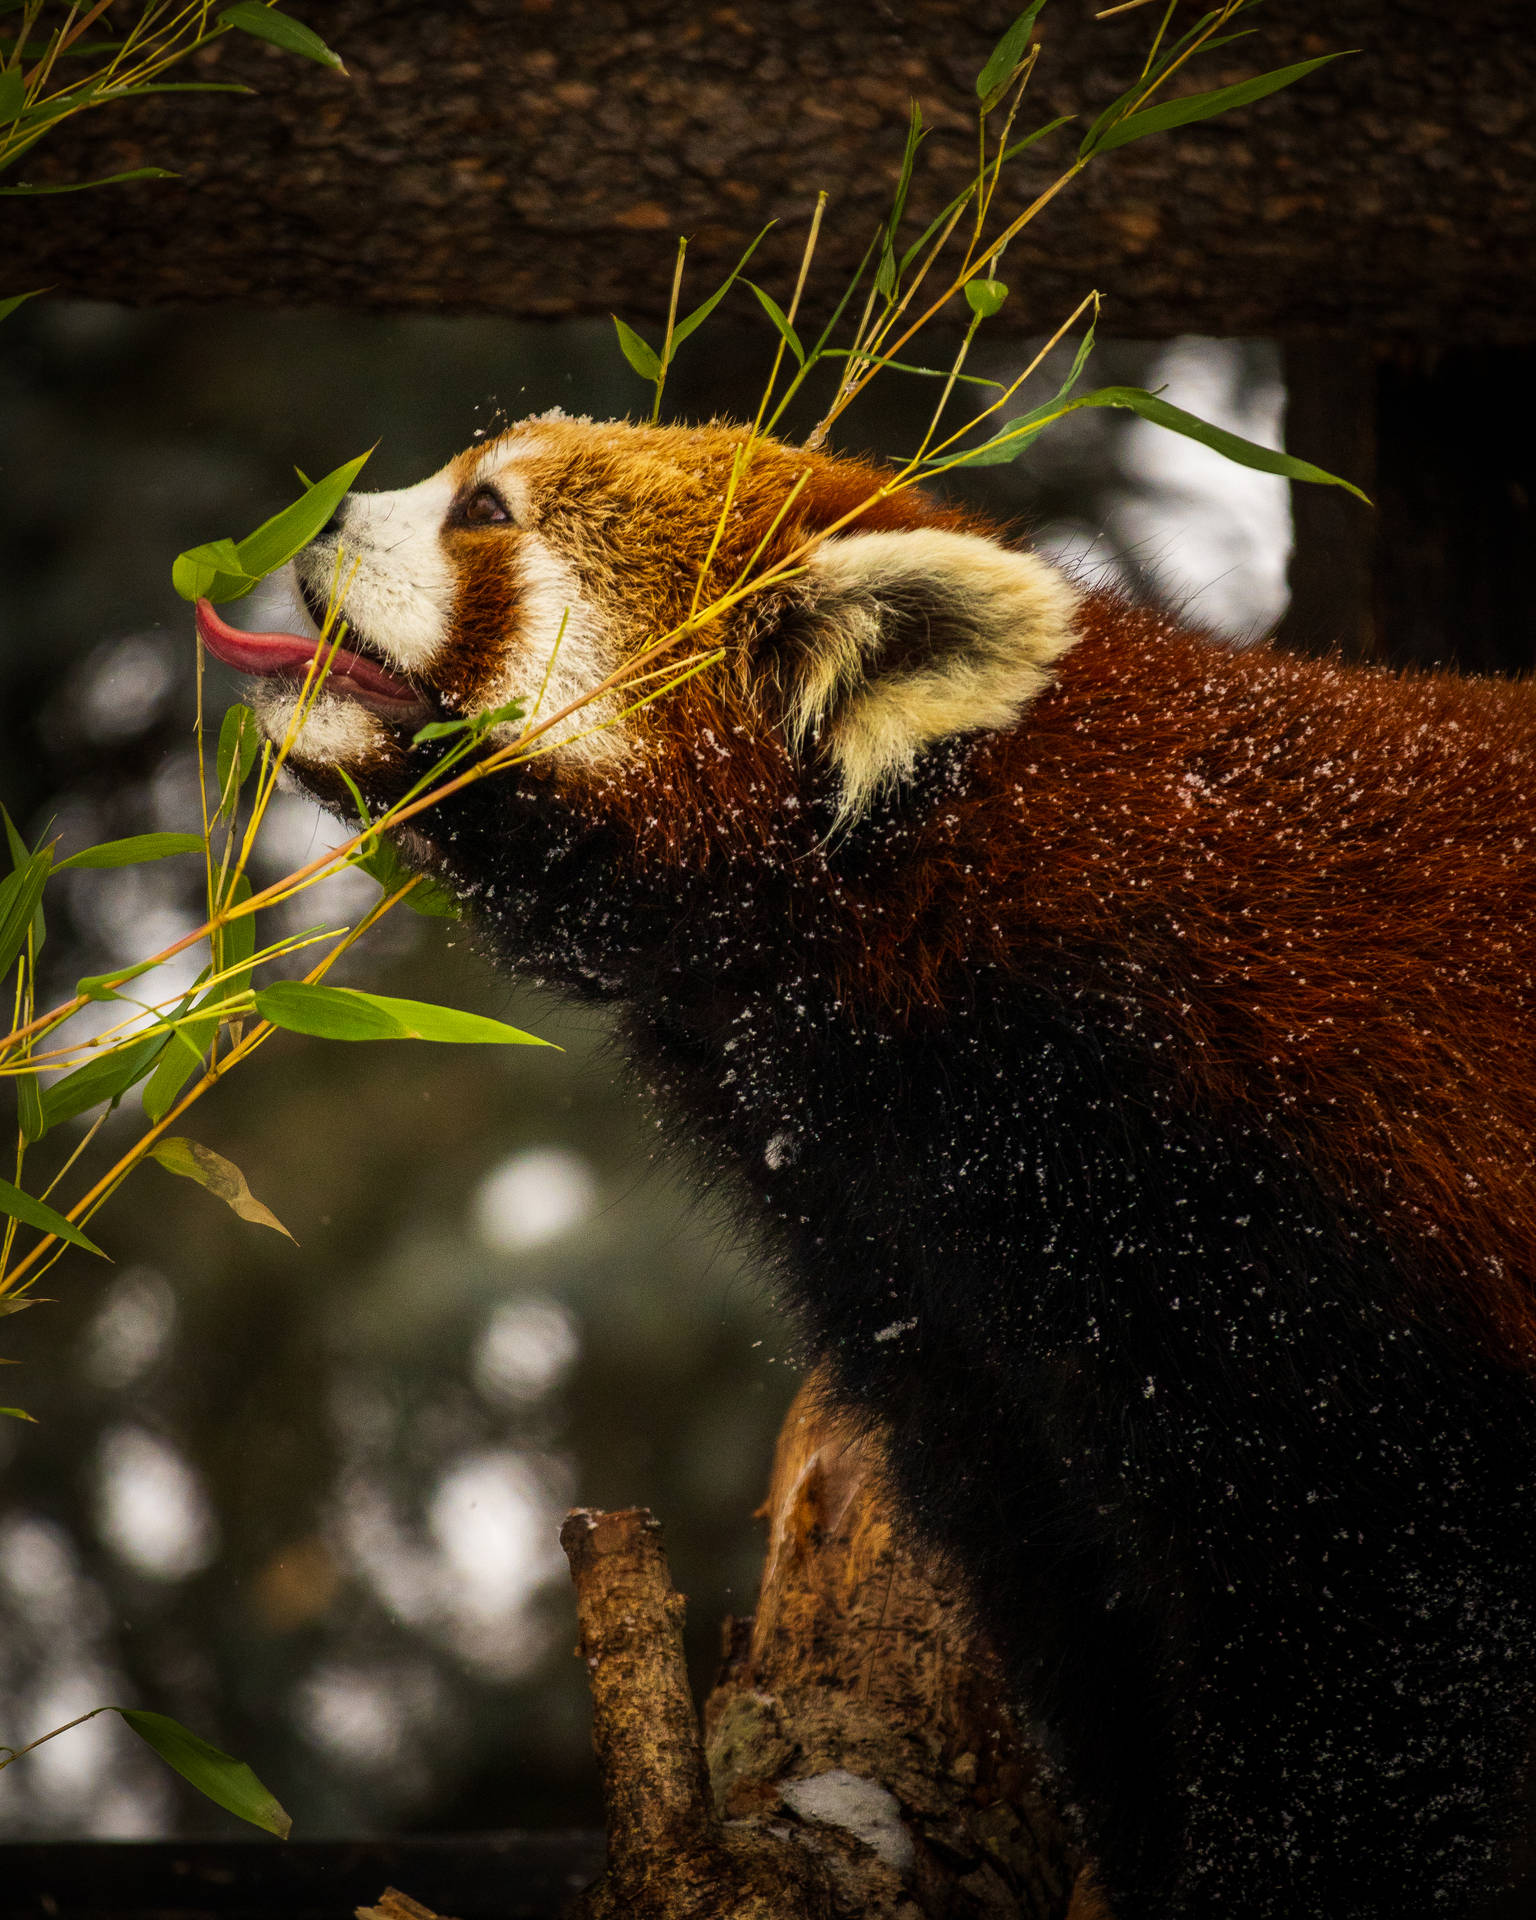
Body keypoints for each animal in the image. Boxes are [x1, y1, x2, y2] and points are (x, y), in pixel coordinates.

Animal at [196, 415, 1536, 1919]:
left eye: (483, 510)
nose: (310, 519)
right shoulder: (919, 1266)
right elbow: (1067, 1586)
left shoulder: (1291, 1214)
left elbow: (1361, 1635)